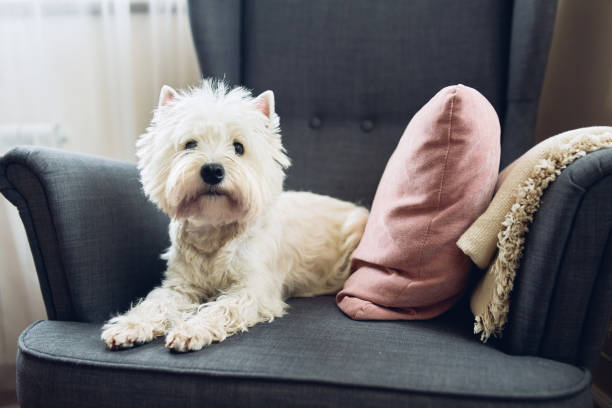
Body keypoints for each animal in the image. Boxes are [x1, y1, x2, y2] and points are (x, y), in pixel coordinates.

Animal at [100, 79, 368, 350]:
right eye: (190, 144)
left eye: (239, 147)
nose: (212, 170)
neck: (214, 229)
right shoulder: (181, 285)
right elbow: (157, 302)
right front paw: (129, 327)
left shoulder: (252, 290)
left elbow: (221, 308)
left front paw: (191, 330)